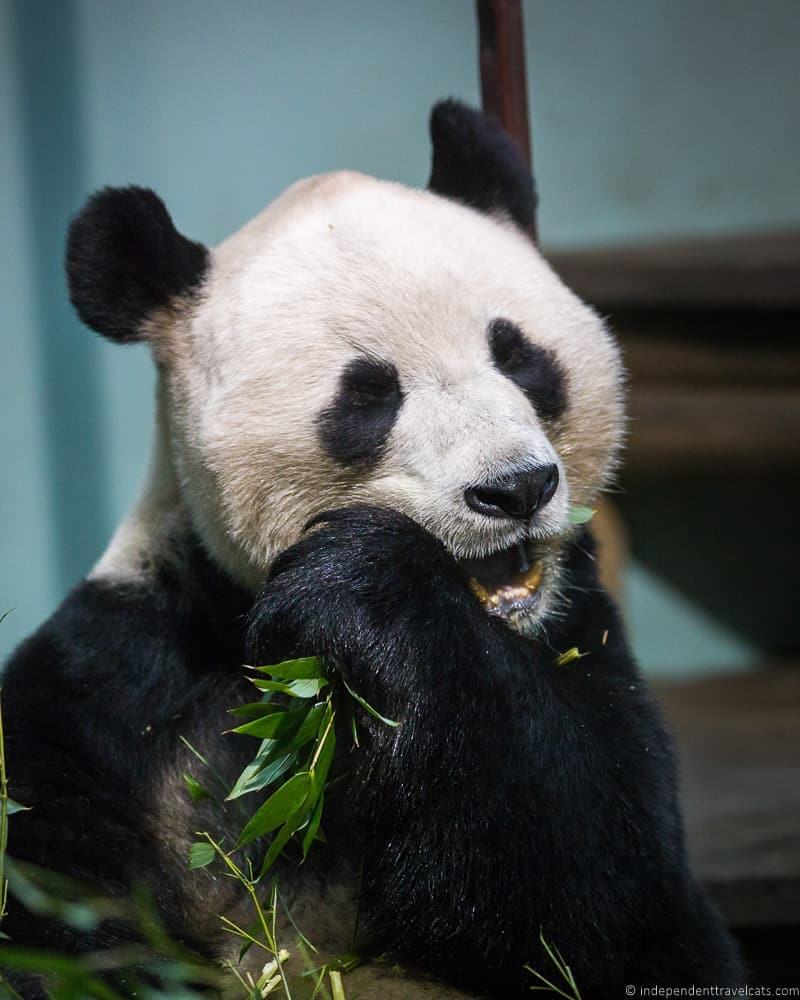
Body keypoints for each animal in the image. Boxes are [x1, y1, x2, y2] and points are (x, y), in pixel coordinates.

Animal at [1, 103, 744, 1000]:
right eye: (368, 395)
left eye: (520, 356)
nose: (517, 488)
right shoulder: (117, 682)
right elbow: (54, 904)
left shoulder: (581, 631)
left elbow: (604, 892)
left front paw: (365, 584)